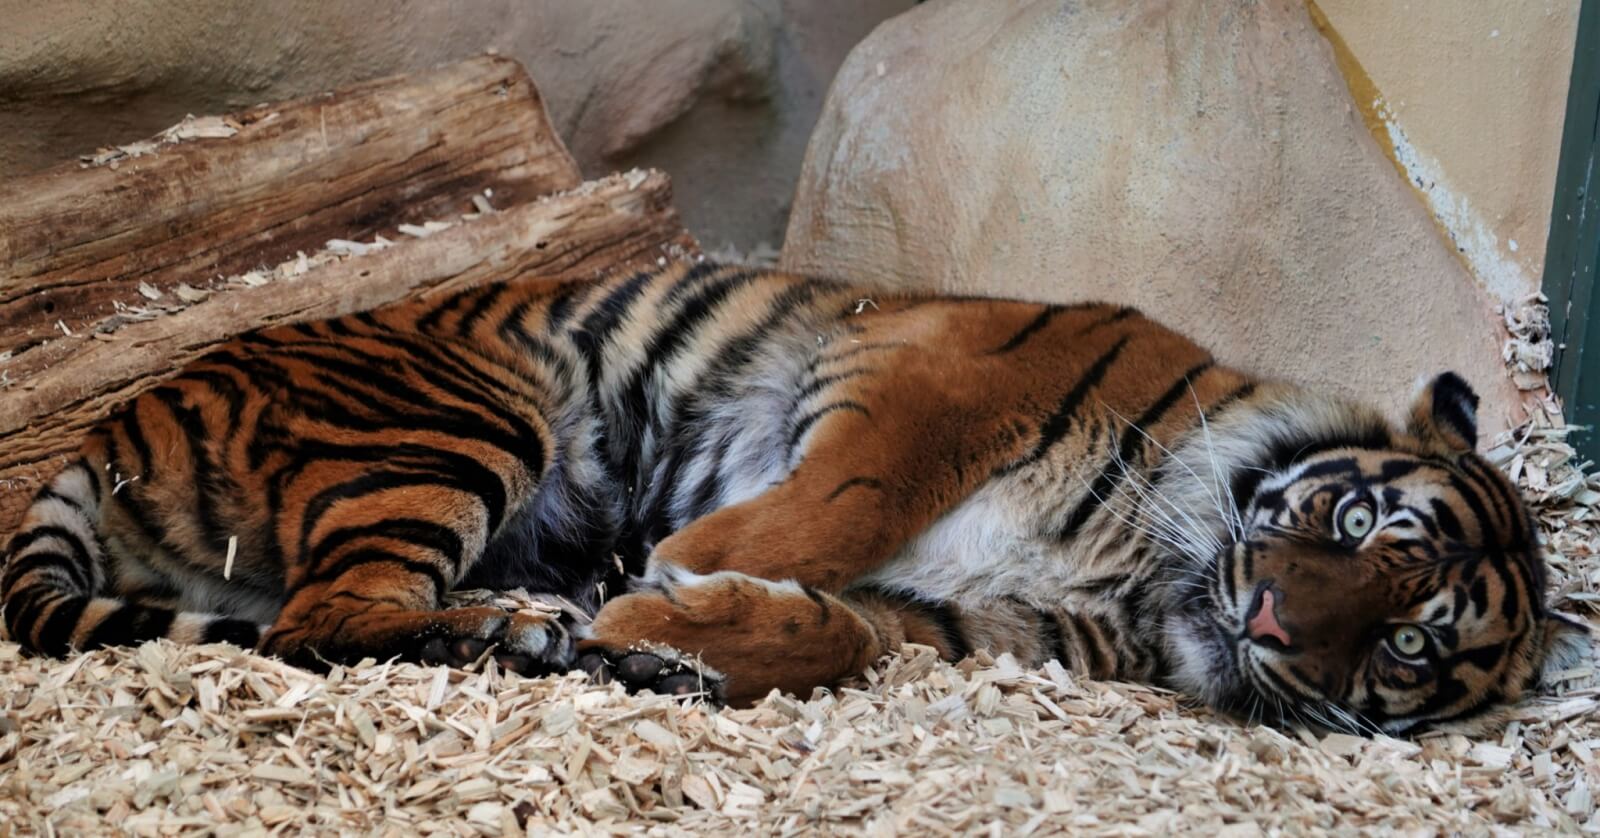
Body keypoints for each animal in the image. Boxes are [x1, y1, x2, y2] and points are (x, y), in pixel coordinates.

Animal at [6, 263, 1593, 732]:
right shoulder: (942, 372)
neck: (1147, 566)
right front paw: (677, 564)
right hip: (465, 414)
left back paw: (563, 640)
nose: (1267, 622)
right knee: (318, 624)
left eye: (1404, 645)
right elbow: (841, 497)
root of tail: (116, 420)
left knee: (323, 622)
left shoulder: (981, 626)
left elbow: (843, 630)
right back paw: (528, 626)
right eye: (1359, 526)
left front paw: (683, 624)